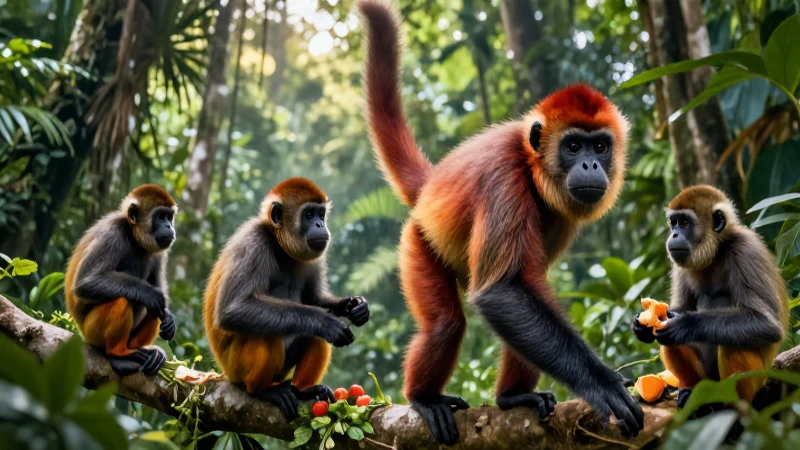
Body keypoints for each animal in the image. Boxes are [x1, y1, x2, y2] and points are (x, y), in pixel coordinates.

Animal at [65, 184, 178, 376]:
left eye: (169, 217)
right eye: (160, 216)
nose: (168, 225)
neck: (134, 237)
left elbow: (159, 290)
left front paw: (169, 318)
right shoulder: (112, 235)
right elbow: (85, 282)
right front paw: (149, 293)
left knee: (155, 308)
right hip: (92, 332)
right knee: (123, 299)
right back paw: (118, 354)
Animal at [203, 178, 371, 420]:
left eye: (321, 214)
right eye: (309, 215)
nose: (320, 225)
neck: (280, 246)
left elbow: (315, 300)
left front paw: (354, 307)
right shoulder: (254, 242)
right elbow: (231, 311)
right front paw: (325, 321)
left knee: (313, 335)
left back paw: (302, 390)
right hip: (235, 368)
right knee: (266, 334)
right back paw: (261, 390)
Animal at [356, 0, 643, 444]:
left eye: (600, 146)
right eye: (573, 146)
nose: (591, 165)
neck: (530, 163)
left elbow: (522, 287)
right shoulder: (503, 180)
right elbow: (500, 291)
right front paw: (600, 383)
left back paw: (511, 398)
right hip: (418, 241)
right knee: (446, 324)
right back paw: (423, 397)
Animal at [633, 185, 788, 411]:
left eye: (685, 223)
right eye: (673, 223)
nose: (674, 234)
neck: (716, 252)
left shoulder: (744, 250)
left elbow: (767, 324)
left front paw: (685, 325)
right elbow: (677, 309)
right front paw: (641, 326)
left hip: (756, 379)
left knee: (734, 341)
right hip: (706, 379)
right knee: (668, 340)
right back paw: (692, 394)